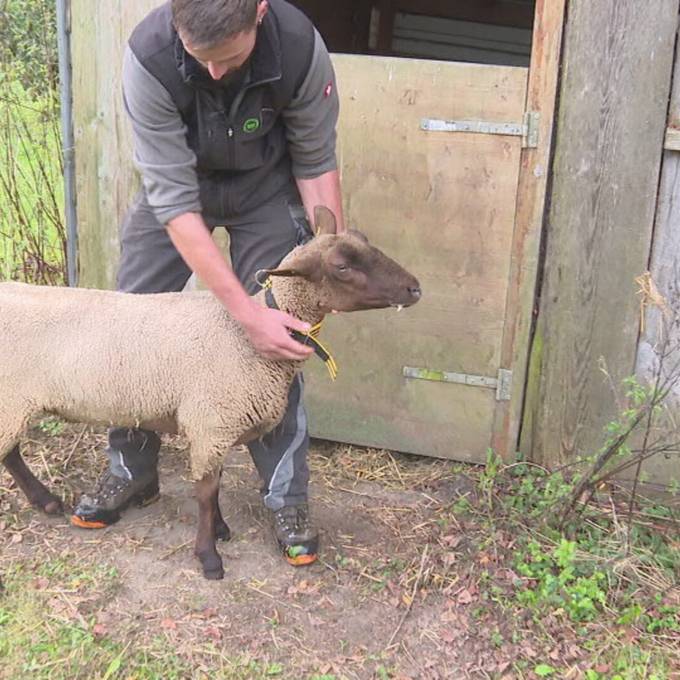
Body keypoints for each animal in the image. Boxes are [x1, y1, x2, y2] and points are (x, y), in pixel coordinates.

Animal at [1, 207, 420, 580]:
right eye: (342, 266)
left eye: (364, 240)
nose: (415, 287)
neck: (244, 337)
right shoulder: (210, 423)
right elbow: (205, 493)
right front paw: (209, 557)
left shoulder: (216, 428)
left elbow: (215, 487)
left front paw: (220, 531)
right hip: (12, 399)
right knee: (10, 452)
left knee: (11, 454)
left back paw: (46, 501)